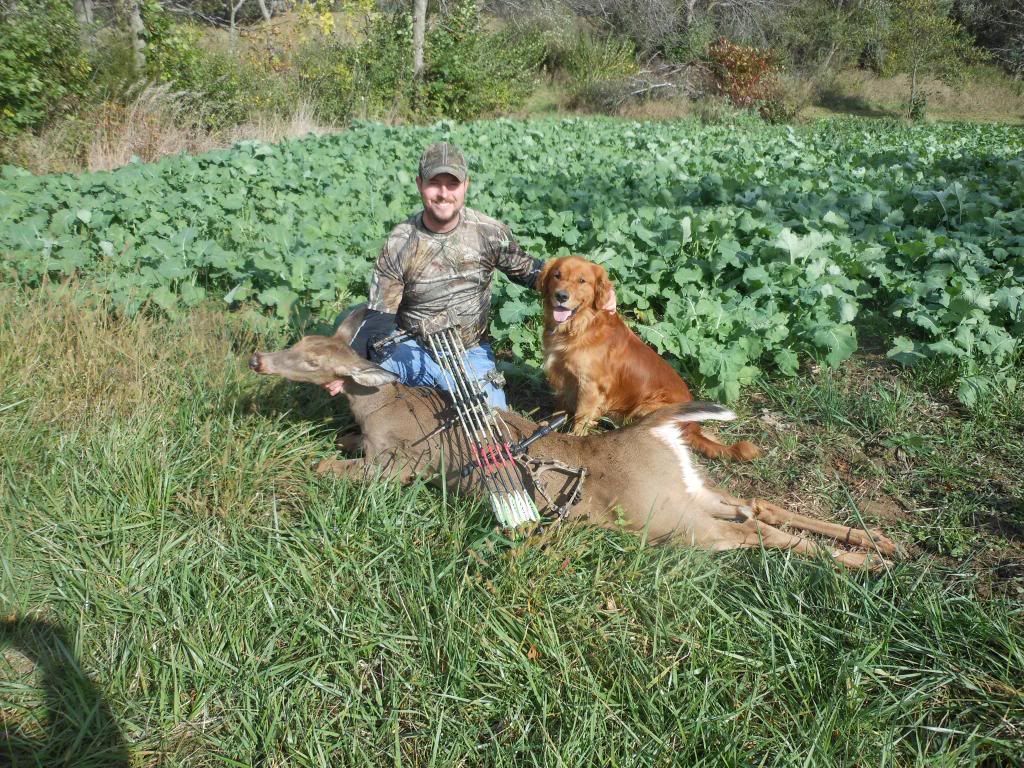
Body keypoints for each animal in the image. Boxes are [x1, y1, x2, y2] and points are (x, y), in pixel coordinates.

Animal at [249, 308, 898, 569]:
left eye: (311, 359)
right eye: (300, 344)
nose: (258, 359)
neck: (374, 407)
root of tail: (656, 432)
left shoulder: (400, 465)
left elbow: (339, 468)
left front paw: (320, 465)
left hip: (670, 520)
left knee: (748, 531)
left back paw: (867, 561)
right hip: (691, 491)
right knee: (758, 505)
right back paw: (883, 545)